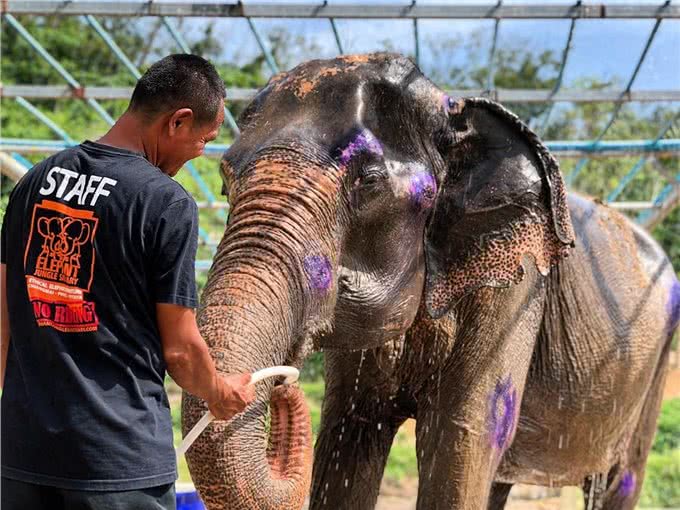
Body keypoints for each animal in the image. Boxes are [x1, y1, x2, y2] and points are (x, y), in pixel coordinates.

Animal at [182, 52, 680, 510]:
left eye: (368, 182)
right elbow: (349, 432)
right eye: (225, 180)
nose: (283, 385)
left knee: (620, 479)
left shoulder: (513, 290)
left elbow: (460, 435)